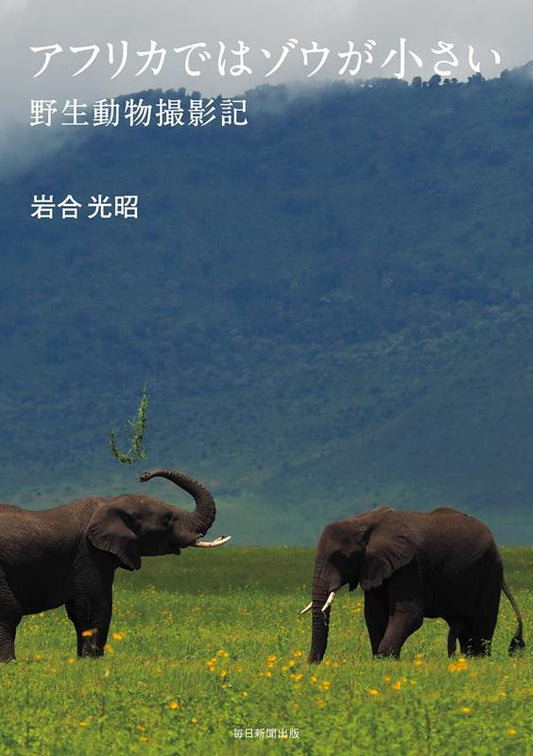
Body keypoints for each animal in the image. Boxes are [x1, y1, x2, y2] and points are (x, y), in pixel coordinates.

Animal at [0, 468, 230, 662]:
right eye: (167, 520)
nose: (143, 475)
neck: (109, 503)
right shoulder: (89, 553)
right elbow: (94, 605)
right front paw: (92, 661)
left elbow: (78, 609)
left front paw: (83, 659)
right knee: (9, 612)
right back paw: (9, 662)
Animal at [301, 506, 525, 662]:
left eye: (341, 557)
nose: (312, 663)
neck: (362, 522)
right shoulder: (376, 565)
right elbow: (374, 614)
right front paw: (379, 661)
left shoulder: (409, 564)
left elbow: (409, 613)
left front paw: (386, 661)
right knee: (463, 627)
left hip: (490, 572)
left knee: (482, 623)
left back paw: (479, 660)